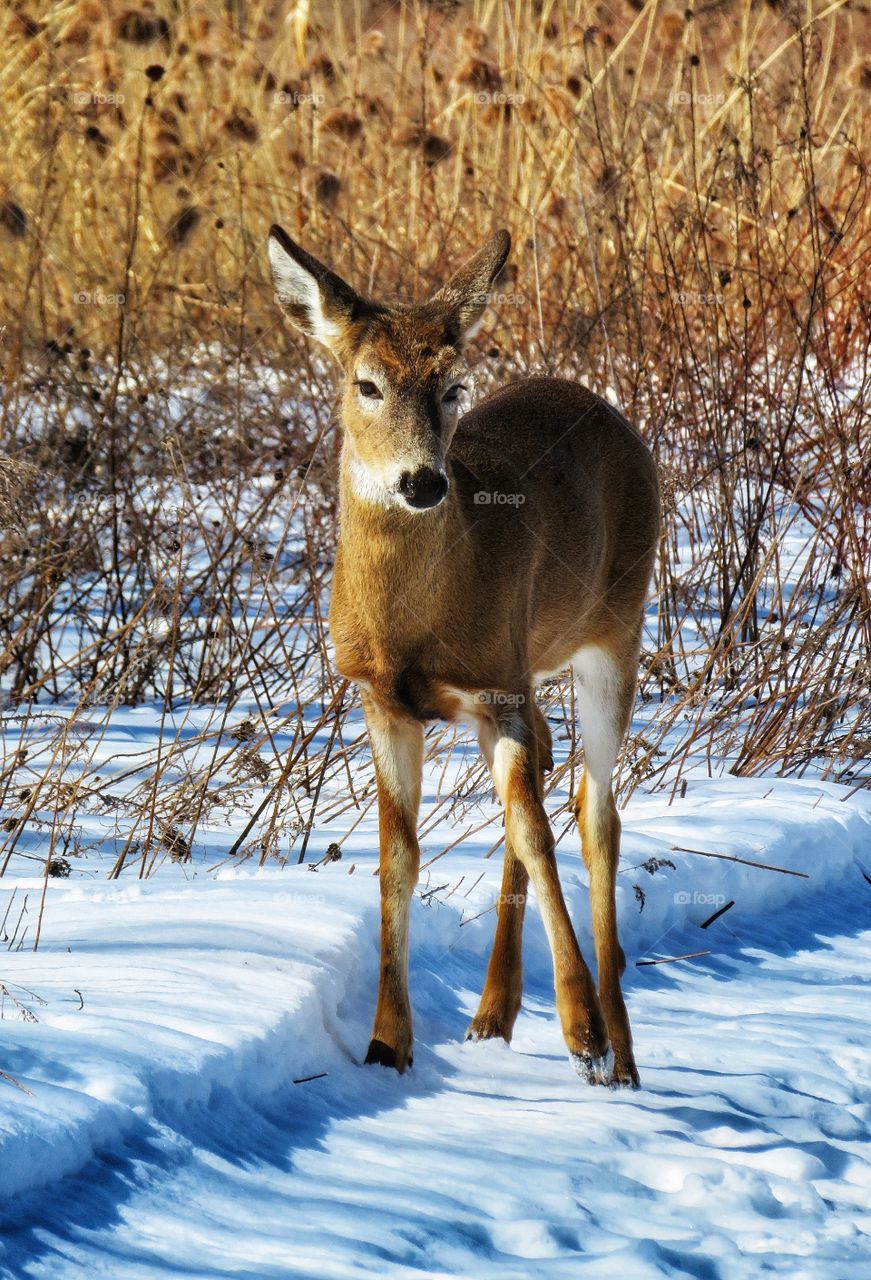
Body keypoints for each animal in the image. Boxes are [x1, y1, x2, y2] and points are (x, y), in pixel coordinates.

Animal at [267, 225, 660, 1085]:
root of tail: (601, 406)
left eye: (452, 387)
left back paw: (618, 1051)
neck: (413, 624)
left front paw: (581, 1031)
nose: (421, 481)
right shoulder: (381, 699)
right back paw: (492, 1012)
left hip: (613, 628)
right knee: (547, 772)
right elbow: (398, 857)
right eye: (367, 383)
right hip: (528, 664)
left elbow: (536, 833)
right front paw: (387, 1042)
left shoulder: (496, 689)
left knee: (594, 813)